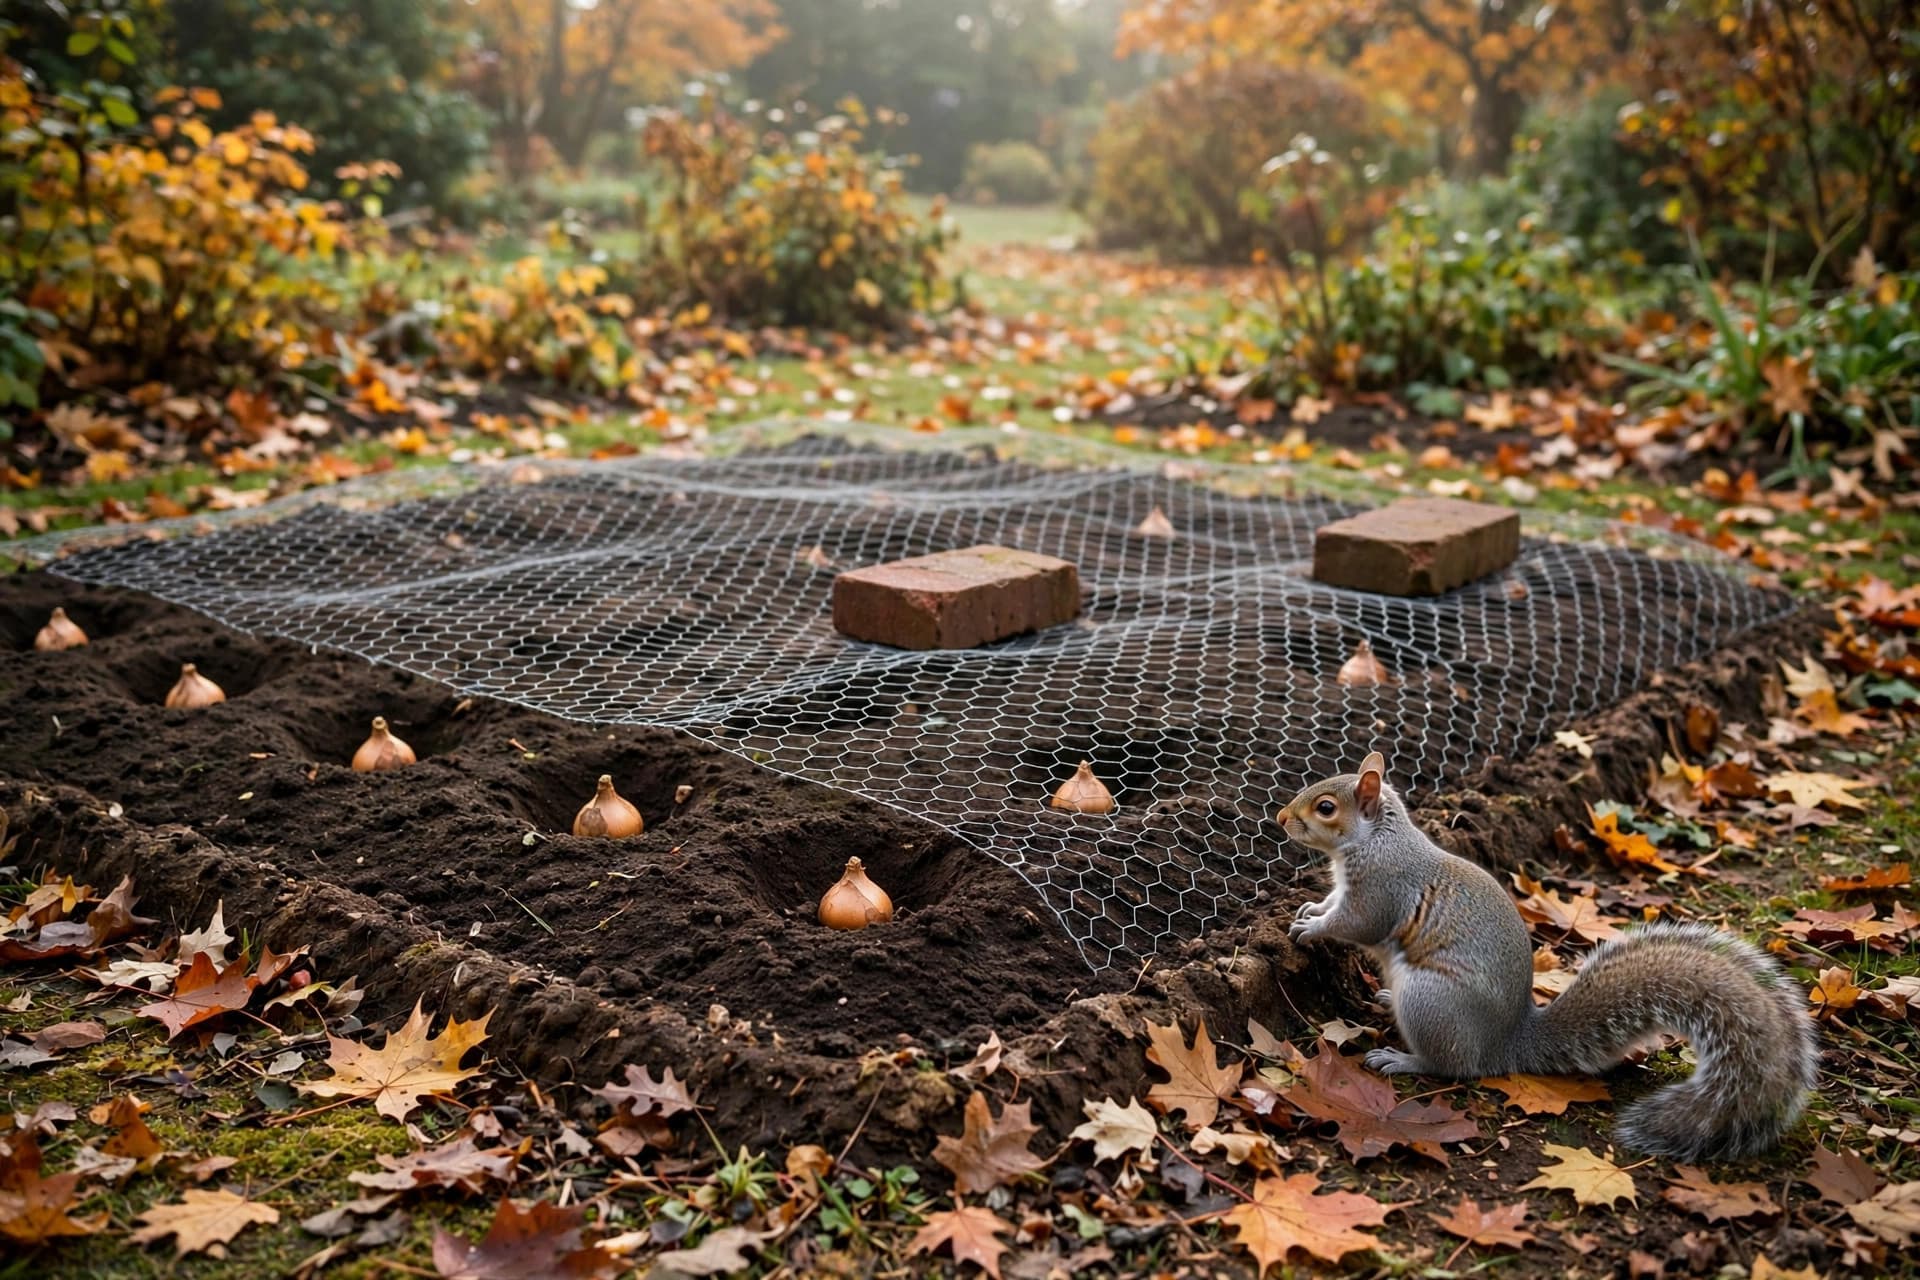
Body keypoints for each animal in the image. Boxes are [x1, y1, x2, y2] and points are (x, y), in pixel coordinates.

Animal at [1276, 751, 1817, 1161]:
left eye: (1325, 807)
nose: (1281, 819)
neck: (1376, 839)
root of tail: (1506, 1042)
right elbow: (1333, 902)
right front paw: (1311, 908)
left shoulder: (1381, 889)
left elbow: (1355, 924)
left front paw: (1311, 928)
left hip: (1432, 1002)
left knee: (1452, 1065)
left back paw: (1401, 1058)